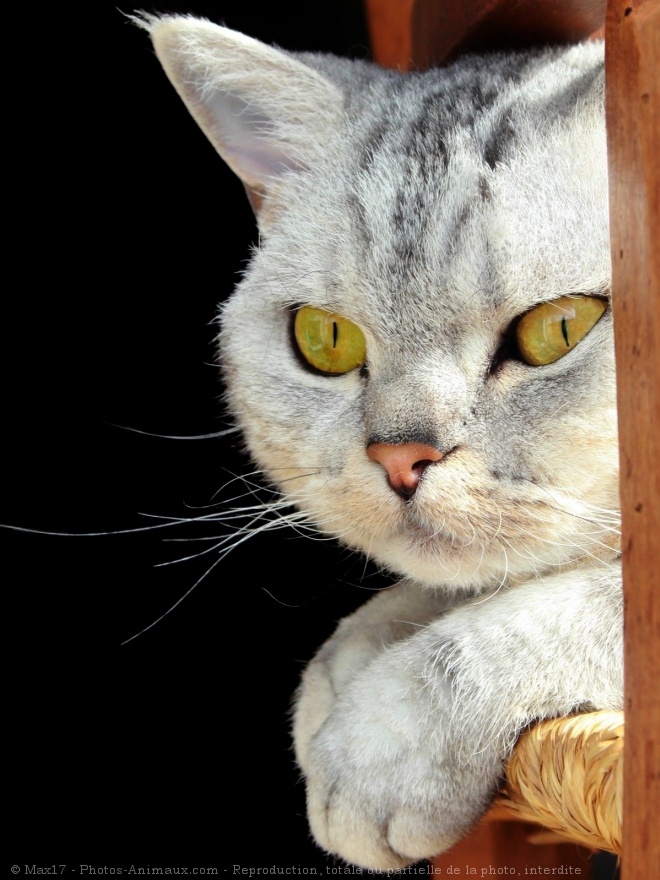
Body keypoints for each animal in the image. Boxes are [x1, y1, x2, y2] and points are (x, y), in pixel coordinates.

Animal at [137, 12, 620, 868]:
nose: (400, 458)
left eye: (558, 327)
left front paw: (381, 742)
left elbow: (578, 605)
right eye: (324, 339)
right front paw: (356, 651)